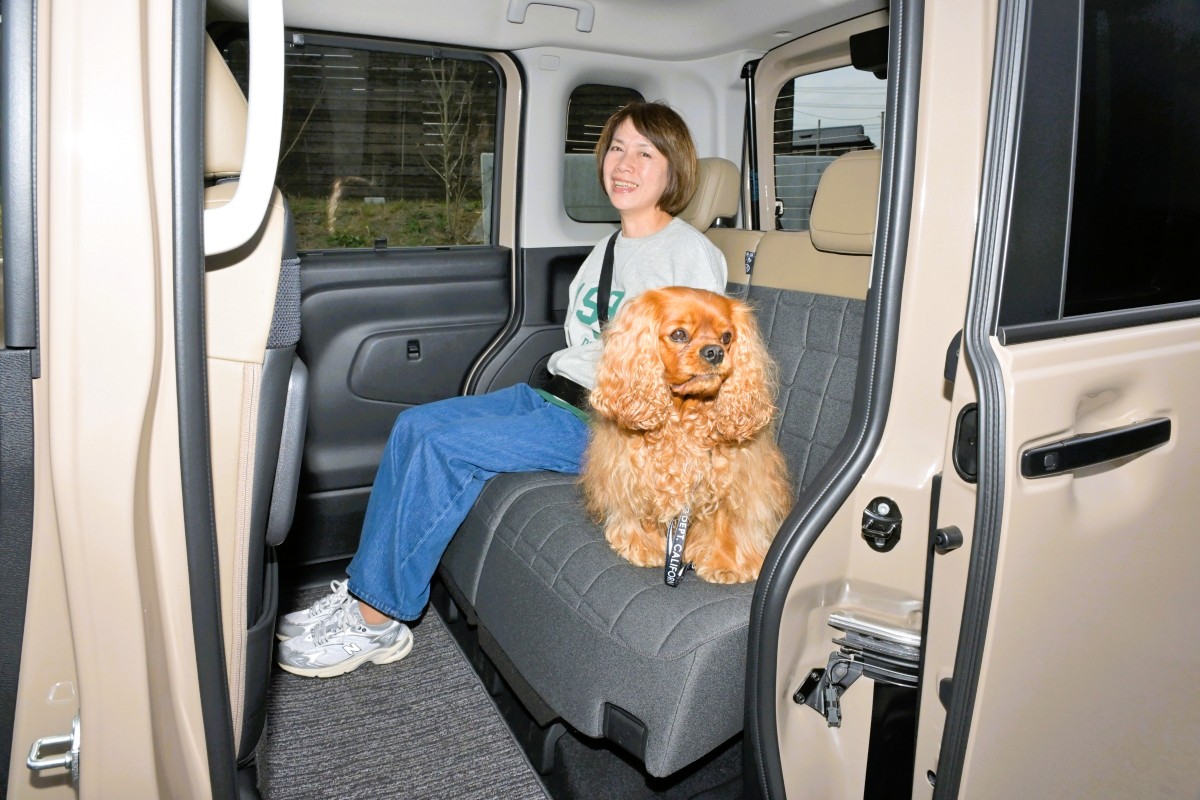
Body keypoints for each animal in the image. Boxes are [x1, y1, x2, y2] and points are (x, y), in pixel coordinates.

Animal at [582, 286, 791, 583]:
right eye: (679, 334)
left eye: (727, 337)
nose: (715, 352)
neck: (684, 415)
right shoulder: (632, 467)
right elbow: (639, 504)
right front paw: (643, 544)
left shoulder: (732, 475)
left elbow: (727, 517)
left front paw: (727, 562)